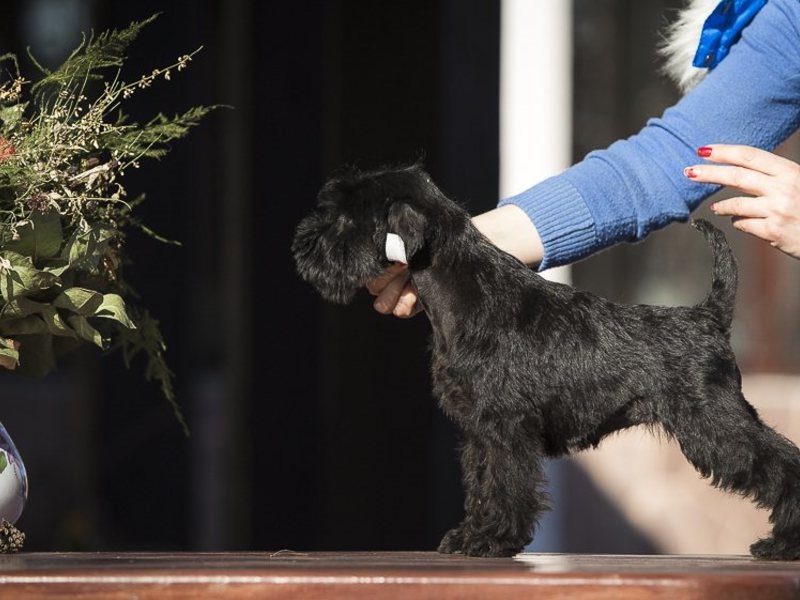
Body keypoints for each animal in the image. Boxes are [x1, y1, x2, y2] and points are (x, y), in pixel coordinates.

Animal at [292, 163, 800, 559]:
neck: (465, 290)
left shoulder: (505, 427)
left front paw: (493, 540)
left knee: (783, 463)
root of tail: (709, 316)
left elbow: (507, 484)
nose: (304, 247)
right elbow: (482, 484)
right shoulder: (479, 432)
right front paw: (472, 534)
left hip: (714, 424)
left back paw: (782, 544)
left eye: (345, 220)